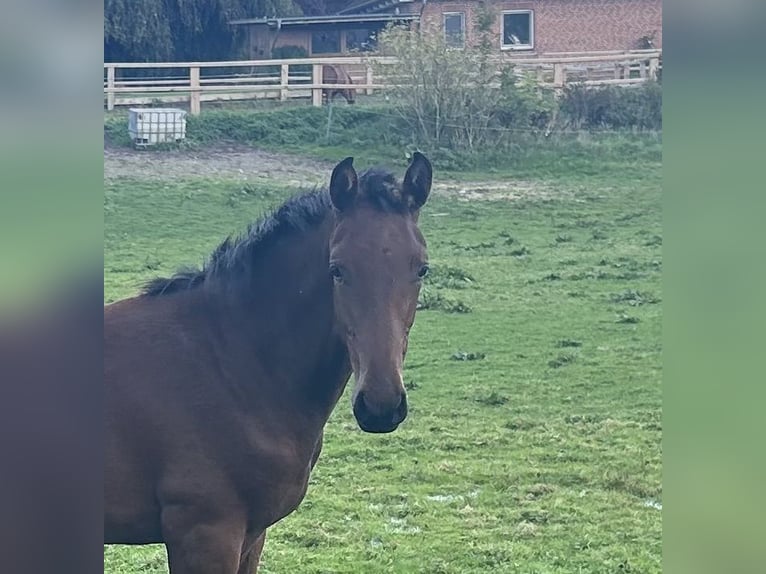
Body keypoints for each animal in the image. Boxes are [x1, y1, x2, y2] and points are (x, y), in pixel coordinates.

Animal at [104, 152, 433, 573]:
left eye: (421, 268)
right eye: (337, 269)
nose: (380, 405)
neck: (231, 363)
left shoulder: (252, 534)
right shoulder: (205, 534)